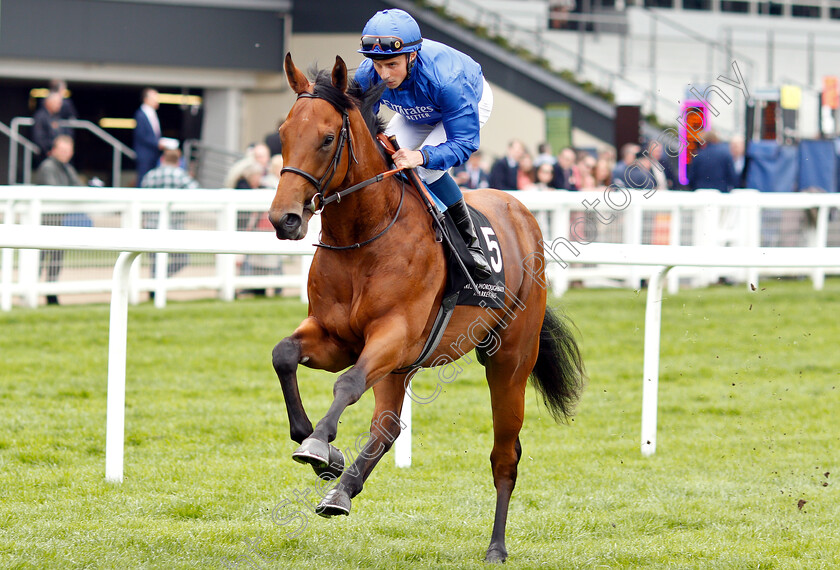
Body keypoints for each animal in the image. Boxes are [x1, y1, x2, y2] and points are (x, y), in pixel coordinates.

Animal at [270, 54, 584, 564]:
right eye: (282, 134)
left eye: (327, 138)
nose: (285, 219)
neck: (365, 235)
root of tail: (522, 213)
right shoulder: (337, 338)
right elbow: (284, 355)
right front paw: (318, 448)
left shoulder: (393, 335)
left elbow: (348, 383)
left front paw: (319, 444)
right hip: (402, 368)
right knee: (386, 428)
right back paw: (341, 491)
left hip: (509, 360)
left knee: (505, 456)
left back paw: (496, 546)